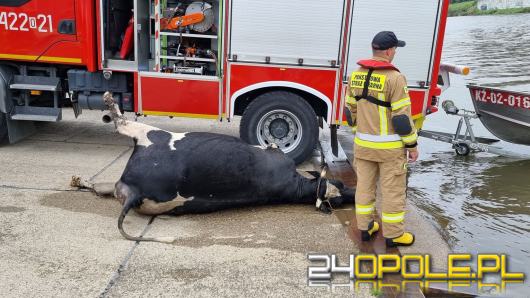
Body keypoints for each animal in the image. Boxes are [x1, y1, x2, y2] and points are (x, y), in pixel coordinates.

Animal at [98, 92, 354, 243]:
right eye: (340, 184)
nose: (350, 192)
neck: (295, 185)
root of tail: (134, 193)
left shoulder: (274, 149)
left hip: (150, 135)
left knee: (122, 123)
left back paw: (111, 104)